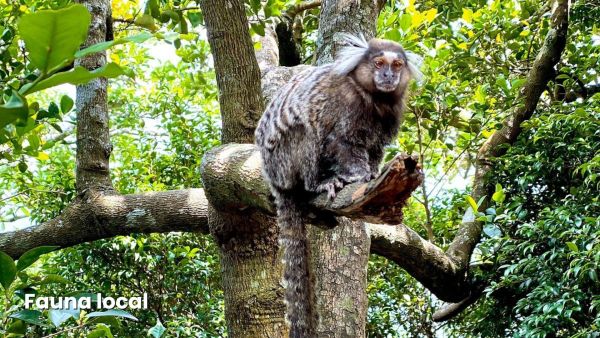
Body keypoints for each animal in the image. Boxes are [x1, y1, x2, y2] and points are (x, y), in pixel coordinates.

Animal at [253, 33, 422, 336]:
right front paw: (360, 176)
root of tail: (274, 180)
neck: (372, 98)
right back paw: (318, 183)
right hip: (284, 161)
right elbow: (340, 142)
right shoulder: (341, 105)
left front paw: (373, 172)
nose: (388, 75)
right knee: (305, 132)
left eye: (397, 65)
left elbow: (374, 150)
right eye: (379, 63)